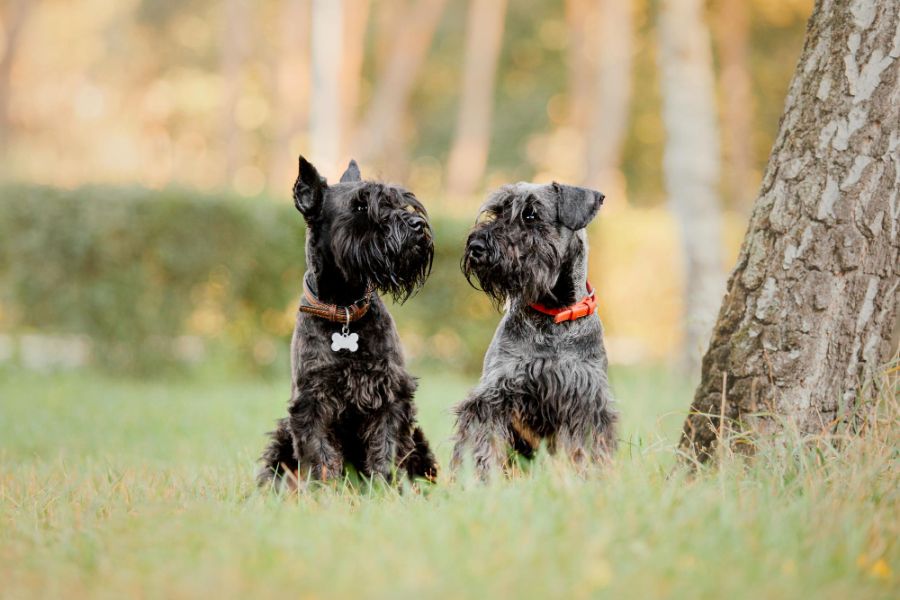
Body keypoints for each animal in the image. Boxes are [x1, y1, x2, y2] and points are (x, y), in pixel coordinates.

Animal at [255, 155, 438, 488]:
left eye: (398, 200)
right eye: (361, 207)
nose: (417, 225)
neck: (344, 310)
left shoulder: (390, 393)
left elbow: (386, 448)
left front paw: (386, 488)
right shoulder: (311, 403)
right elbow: (321, 455)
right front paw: (324, 491)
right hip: (282, 433)